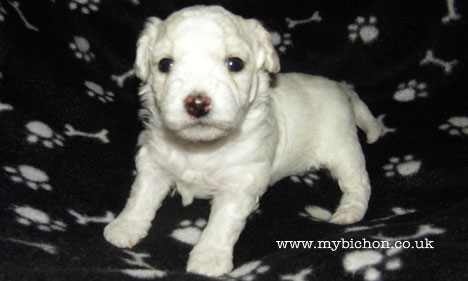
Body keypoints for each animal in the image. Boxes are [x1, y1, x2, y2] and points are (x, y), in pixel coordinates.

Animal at [104, 4, 382, 276]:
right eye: (164, 64)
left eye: (234, 63)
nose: (197, 103)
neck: (200, 148)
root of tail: (341, 88)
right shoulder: (153, 161)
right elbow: (141, 196)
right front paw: (124, 227)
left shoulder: (239, 184)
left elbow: (221, 224)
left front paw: (209, 259)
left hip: (342, 146)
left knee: (359, 182)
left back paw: (348, 212)